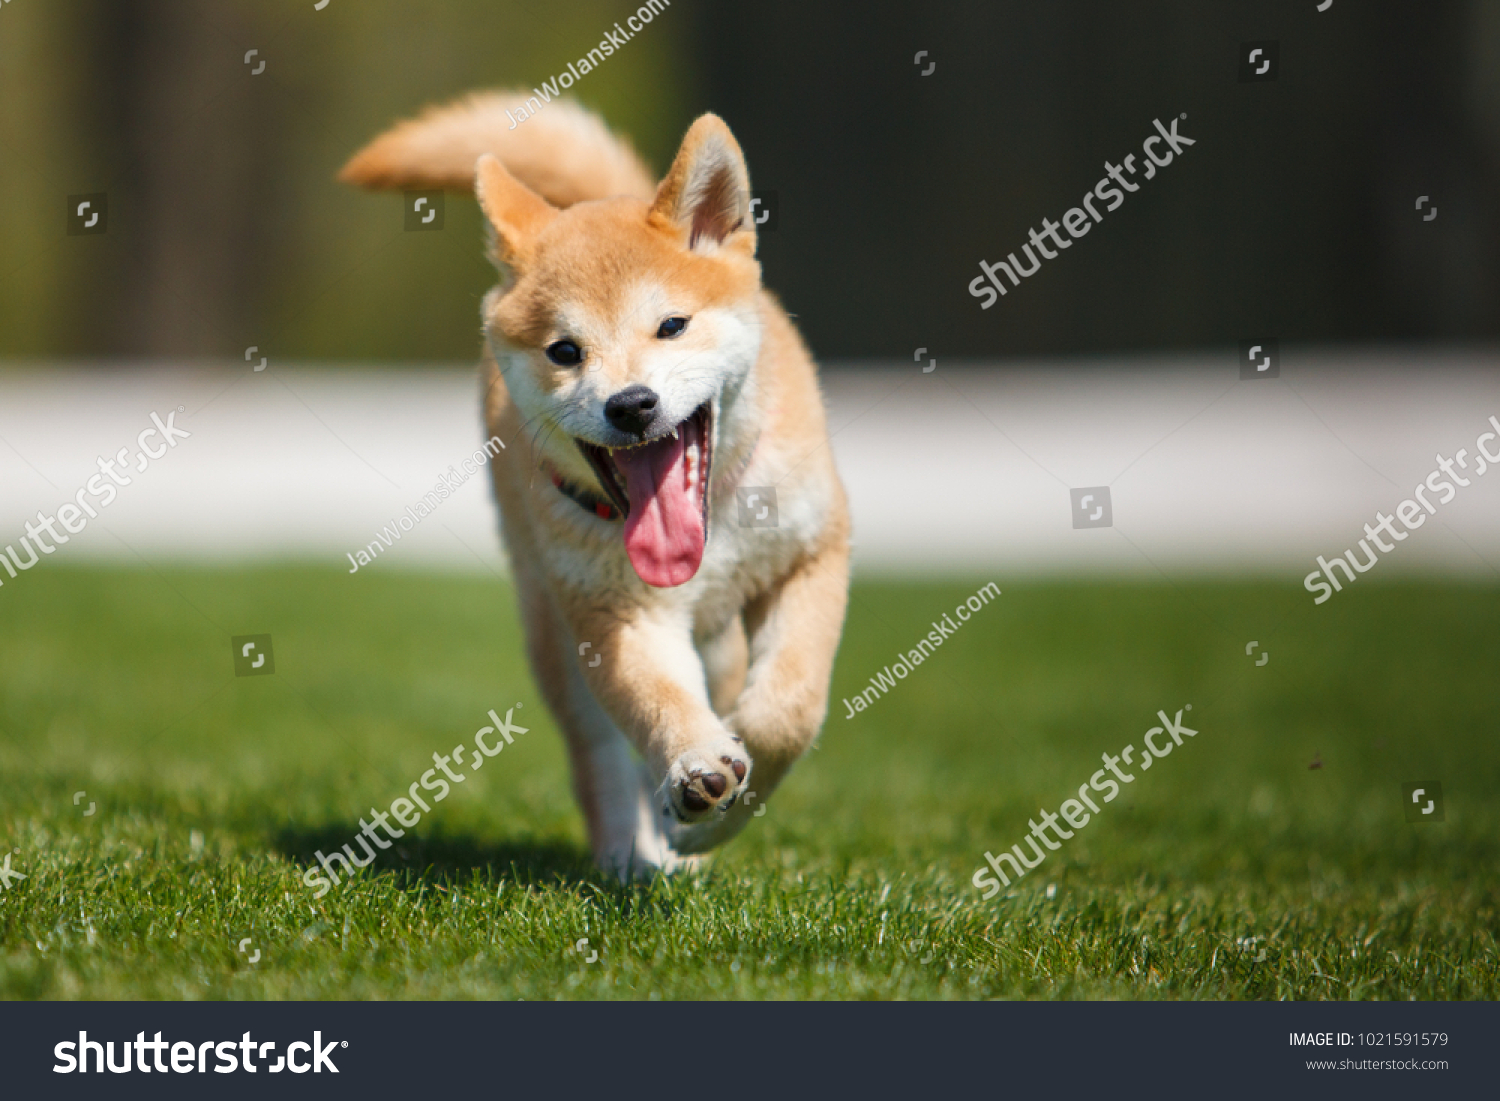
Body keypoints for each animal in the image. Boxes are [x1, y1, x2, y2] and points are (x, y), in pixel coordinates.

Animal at [343, 90, 852, 876]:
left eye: (672, 325)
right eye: (565, 351)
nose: (631, 404)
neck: (713, 522)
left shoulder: (813, 551)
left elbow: (787, 710)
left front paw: (711, 818)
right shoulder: (616, 614)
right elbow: (659, 706)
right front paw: (699, 774)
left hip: (716, 638)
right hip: (554, 632)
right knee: (601, 759)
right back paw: (627, 857)